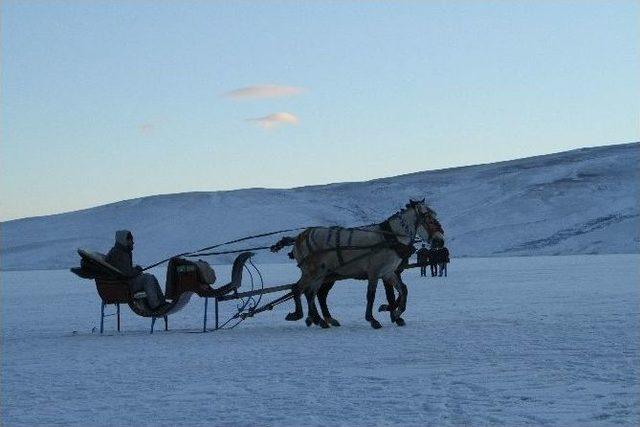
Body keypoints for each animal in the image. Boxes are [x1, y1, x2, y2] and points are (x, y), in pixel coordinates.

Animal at [272, 199, 444, 330]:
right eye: (428, 217)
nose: (440, 241)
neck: (390, 238)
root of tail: (299, 236)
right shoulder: (374, 272)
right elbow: (371, 295)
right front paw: (373, 319)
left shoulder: (388, 272)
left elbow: (403, 290)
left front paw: (395, 313)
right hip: (313, 272)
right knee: (298, 289)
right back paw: (300, 315)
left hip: (322, 274)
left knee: (311, 293)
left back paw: (320, 319)